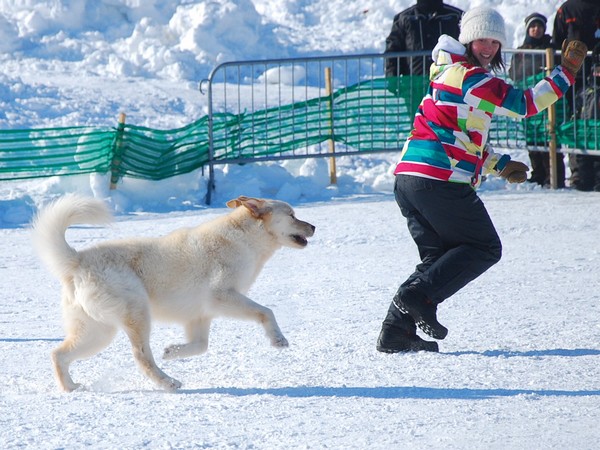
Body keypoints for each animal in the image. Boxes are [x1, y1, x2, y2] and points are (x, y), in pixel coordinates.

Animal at [32, 195, 316, 392]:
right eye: (292, 215)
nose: (313, 227)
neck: (245, 238)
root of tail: (77, 260)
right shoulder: (222, 297)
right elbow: (266, 311)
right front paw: (278, 339)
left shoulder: (200, 316)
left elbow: (201, 346)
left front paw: (172, 351)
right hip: (136, 315)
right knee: (142, 357)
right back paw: (168, 383)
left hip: (98, 332)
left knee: (58, 354)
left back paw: (70, 388)